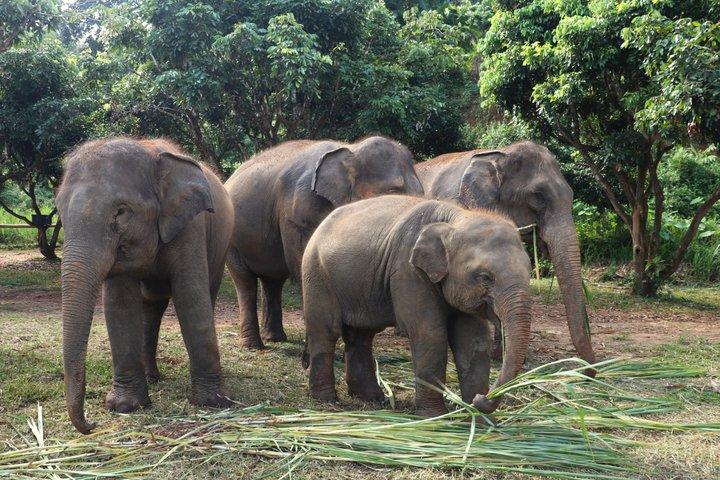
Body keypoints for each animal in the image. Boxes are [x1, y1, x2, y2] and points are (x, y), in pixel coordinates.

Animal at [56, 137, 234, 434]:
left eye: (121, 211)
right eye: (58, 211)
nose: (91, 424)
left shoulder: (190, 227)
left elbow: (191, 298)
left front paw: (213, 402)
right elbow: (120, 306)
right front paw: (124, 406)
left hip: (221, 248)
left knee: (204, 294)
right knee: (151, 307)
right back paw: (152, 378)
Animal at [224, 136, 424, 349]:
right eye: (393, 192)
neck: (352, 150)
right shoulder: (300, 210)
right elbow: (304, 263)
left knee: (273, 281)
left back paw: (275, 338)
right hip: (232, 238)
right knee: (245, 281)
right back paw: (253, 345)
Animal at [302, 195, 532, 416]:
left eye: (529, 271)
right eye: (485, 277)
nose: (481, 398)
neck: (456, 217)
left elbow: (473, 339)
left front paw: (482, 420)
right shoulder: (407, 270)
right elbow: (429, 333)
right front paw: (433, 416)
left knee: (362, 336)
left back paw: (373, 399)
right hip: (316, 274)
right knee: (326, 331)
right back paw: (327, 399)